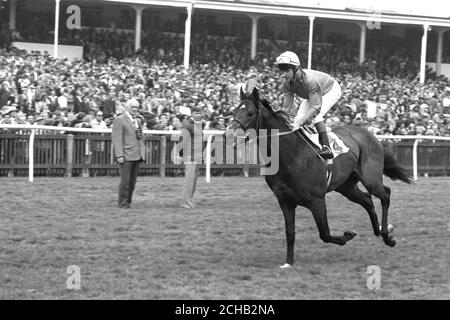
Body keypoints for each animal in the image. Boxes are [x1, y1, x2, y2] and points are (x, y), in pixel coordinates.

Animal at [232, 87, 412, 268]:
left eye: (250, 113)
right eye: (233, 111)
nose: (232, 134)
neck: (290, 156)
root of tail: (371, 134)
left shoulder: (317, 199)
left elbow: (324, 233)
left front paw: (348, 235)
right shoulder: (285, 201)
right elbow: (290, 233)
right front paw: (288, 262)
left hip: (371, 179)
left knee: (385, 194)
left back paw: (387, 235)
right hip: (346, 186)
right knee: (367, 200)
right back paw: (379, 230)